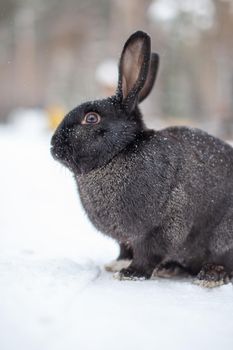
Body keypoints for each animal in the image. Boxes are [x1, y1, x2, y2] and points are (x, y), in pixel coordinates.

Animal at [51, 30, 233, 288]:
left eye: (92, 118)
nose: (53, 146)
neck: (120, 153)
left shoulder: (162, 227)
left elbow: (148, 253)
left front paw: (129, 273)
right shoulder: (125, 239)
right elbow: (125, 249)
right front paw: (117, 264)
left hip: (223, 236)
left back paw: (210, 276)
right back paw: (169, 269)